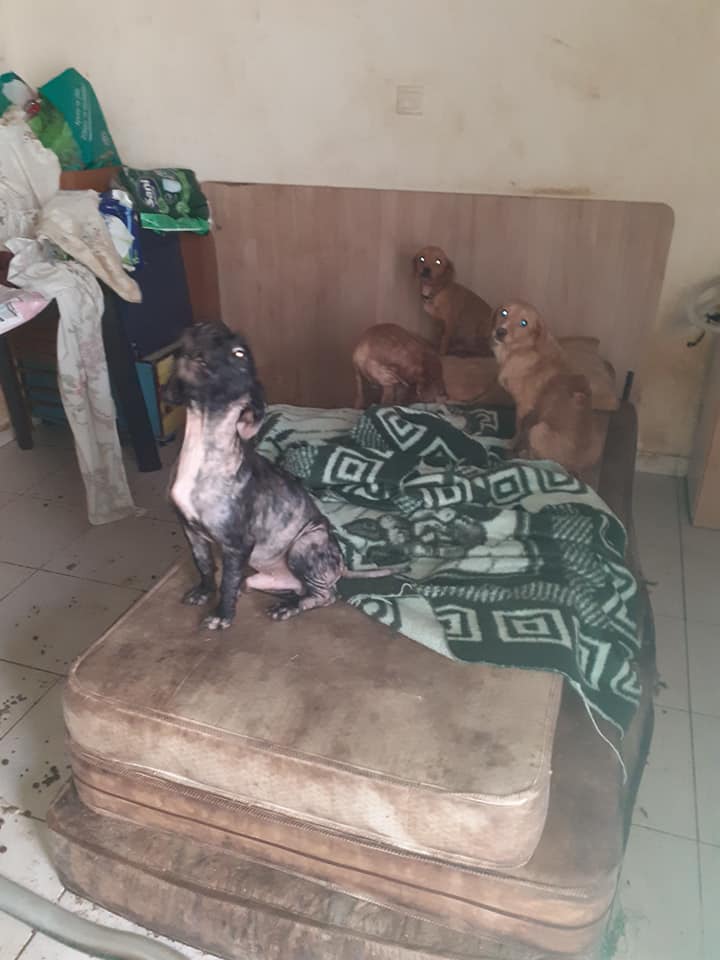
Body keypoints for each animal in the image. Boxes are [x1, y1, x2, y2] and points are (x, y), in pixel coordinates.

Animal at [165, 323, 399, 629]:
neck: (203, 439)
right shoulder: (191, 531)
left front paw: (222, 615)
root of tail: (341, 566)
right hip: (264, 576)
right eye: (201, 330)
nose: (199, 334)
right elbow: (204, 565)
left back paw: (288, 608)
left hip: (304, 543)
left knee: (326, 595)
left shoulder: (237, 546)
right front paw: (204, 591)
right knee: (289, 588)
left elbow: (226, 580)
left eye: (239, 353)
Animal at [491, 301, 602, 479]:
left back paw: (524, 454)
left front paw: (511, 444)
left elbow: (519, 430)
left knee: (541, 460)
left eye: (524, 323)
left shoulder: (524, 407)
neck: (523, 349)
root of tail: (574, 470)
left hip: (538, 431)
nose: (500, 332)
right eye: (504, 312)